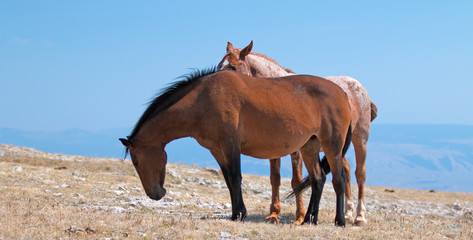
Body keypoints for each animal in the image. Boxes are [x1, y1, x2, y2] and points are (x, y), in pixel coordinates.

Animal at [120, 68, 352, 227]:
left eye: (136, 161)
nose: (155, 195)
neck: (202, 99)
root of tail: (343, 94)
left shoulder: (230, 146)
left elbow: (235, 178)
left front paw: (240, 214)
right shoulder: (217, 150)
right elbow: (229, 181)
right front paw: (235, 213)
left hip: (332, 146)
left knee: (338, 179)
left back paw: (340, 220)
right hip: (309, 146)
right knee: (318, 180)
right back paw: (310, 219)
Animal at [217, 40, 376, 226]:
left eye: (234, 67)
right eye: (219, 66)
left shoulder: (297, 152)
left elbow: (296, 181)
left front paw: (300, 216)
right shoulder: (274, 149)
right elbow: (275, 178)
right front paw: (274, 214)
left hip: (359, 139)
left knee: (360, 174)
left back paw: (359, 216)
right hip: (335, 147)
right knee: (347, 171)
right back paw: (349, 213)